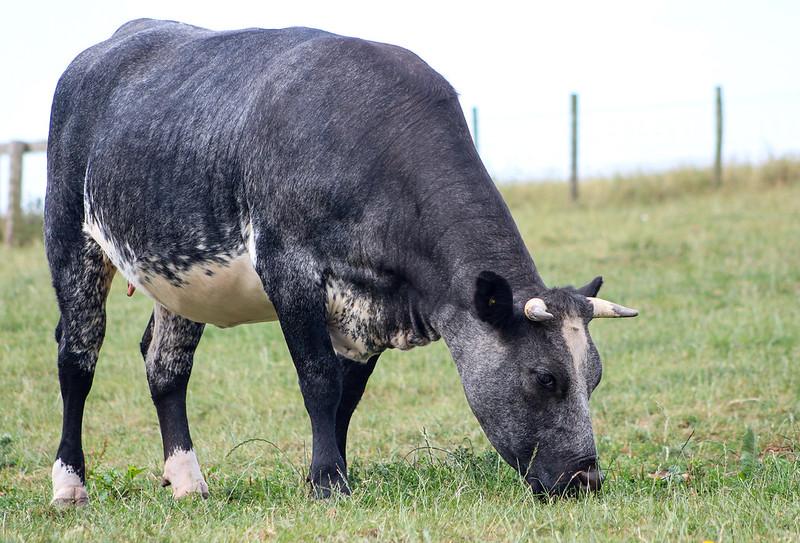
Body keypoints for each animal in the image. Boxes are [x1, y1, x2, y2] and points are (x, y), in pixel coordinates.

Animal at [44, 18, 637, 506]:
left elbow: (347, 396)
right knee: (78, 358)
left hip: (178, 277)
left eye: (595, 378)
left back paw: (188, 481)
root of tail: (104, 47)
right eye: (545, 378)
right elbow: (319, 381)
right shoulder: (289, 269)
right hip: (70, 239)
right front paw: (330, 481)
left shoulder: (367, 309)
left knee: (166, 365)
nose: (586, 477)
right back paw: (70, 485)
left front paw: (328, 472)